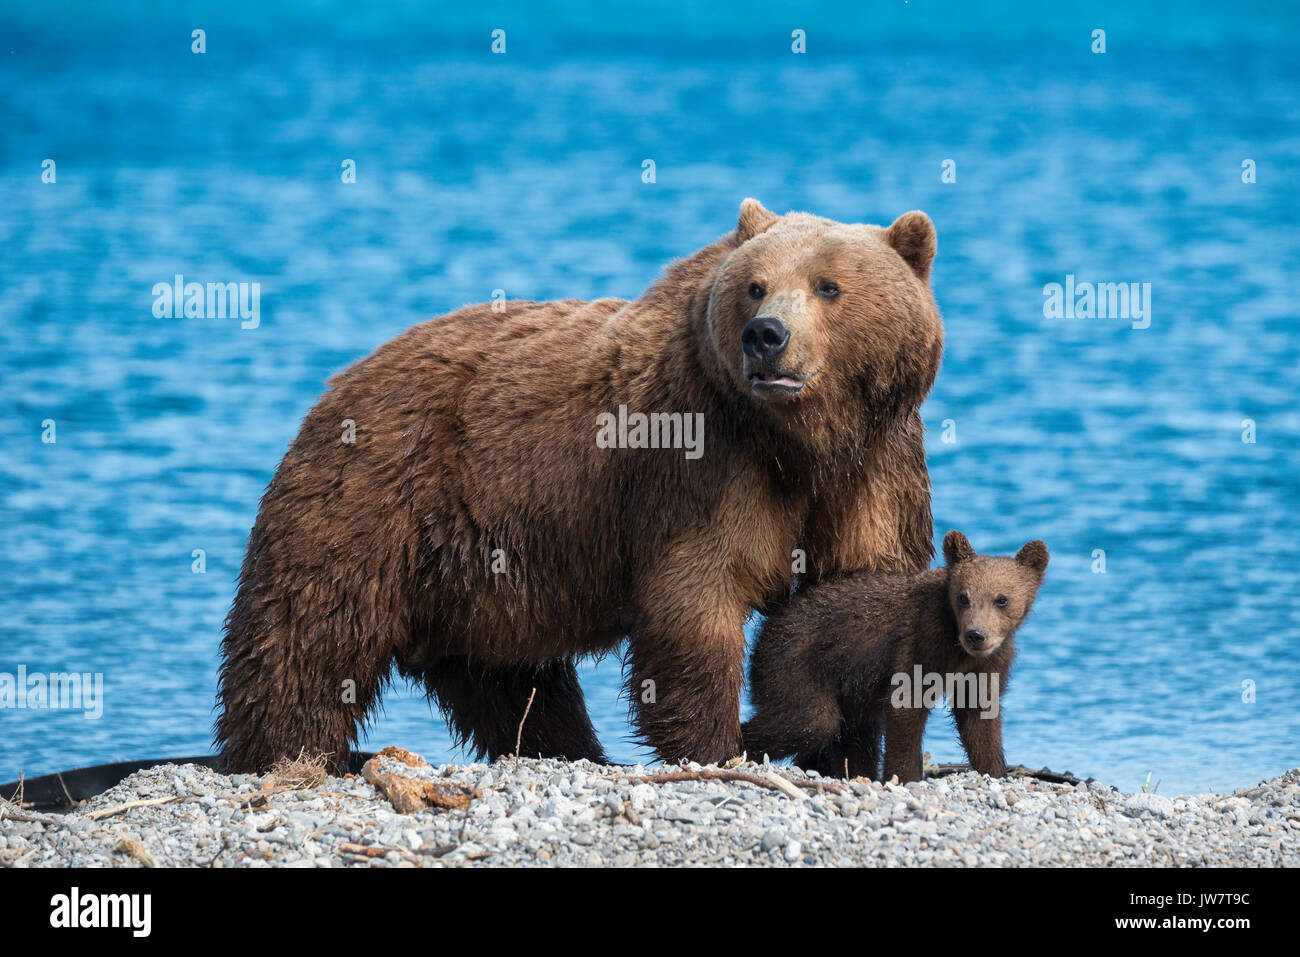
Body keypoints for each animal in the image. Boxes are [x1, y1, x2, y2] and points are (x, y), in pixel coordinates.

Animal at [213, 197, 946, 774]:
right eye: (756, 286)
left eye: (829, 286)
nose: (766, 336)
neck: (801, 440)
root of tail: (340, 384)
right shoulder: (702, 462)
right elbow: (699, 595)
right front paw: (717, 744)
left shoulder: (877, 464)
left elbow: (852, 594)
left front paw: (846, 750)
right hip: (374, 499)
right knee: (309, 637)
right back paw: (283, 752)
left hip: (480, 568)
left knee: (508, 677)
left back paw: (569, 749)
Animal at [743, 530, 1045, 785]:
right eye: (963, 597)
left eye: (1001, 599)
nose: (976, 634)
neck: (958, 648)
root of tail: (771, 620)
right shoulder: (923, 640)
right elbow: (907, 706)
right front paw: (904, 776)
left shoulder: (988, 663)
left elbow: (980, 717)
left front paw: (994, 771)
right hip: (795, 659)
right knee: (808, 719)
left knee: (853, 734)